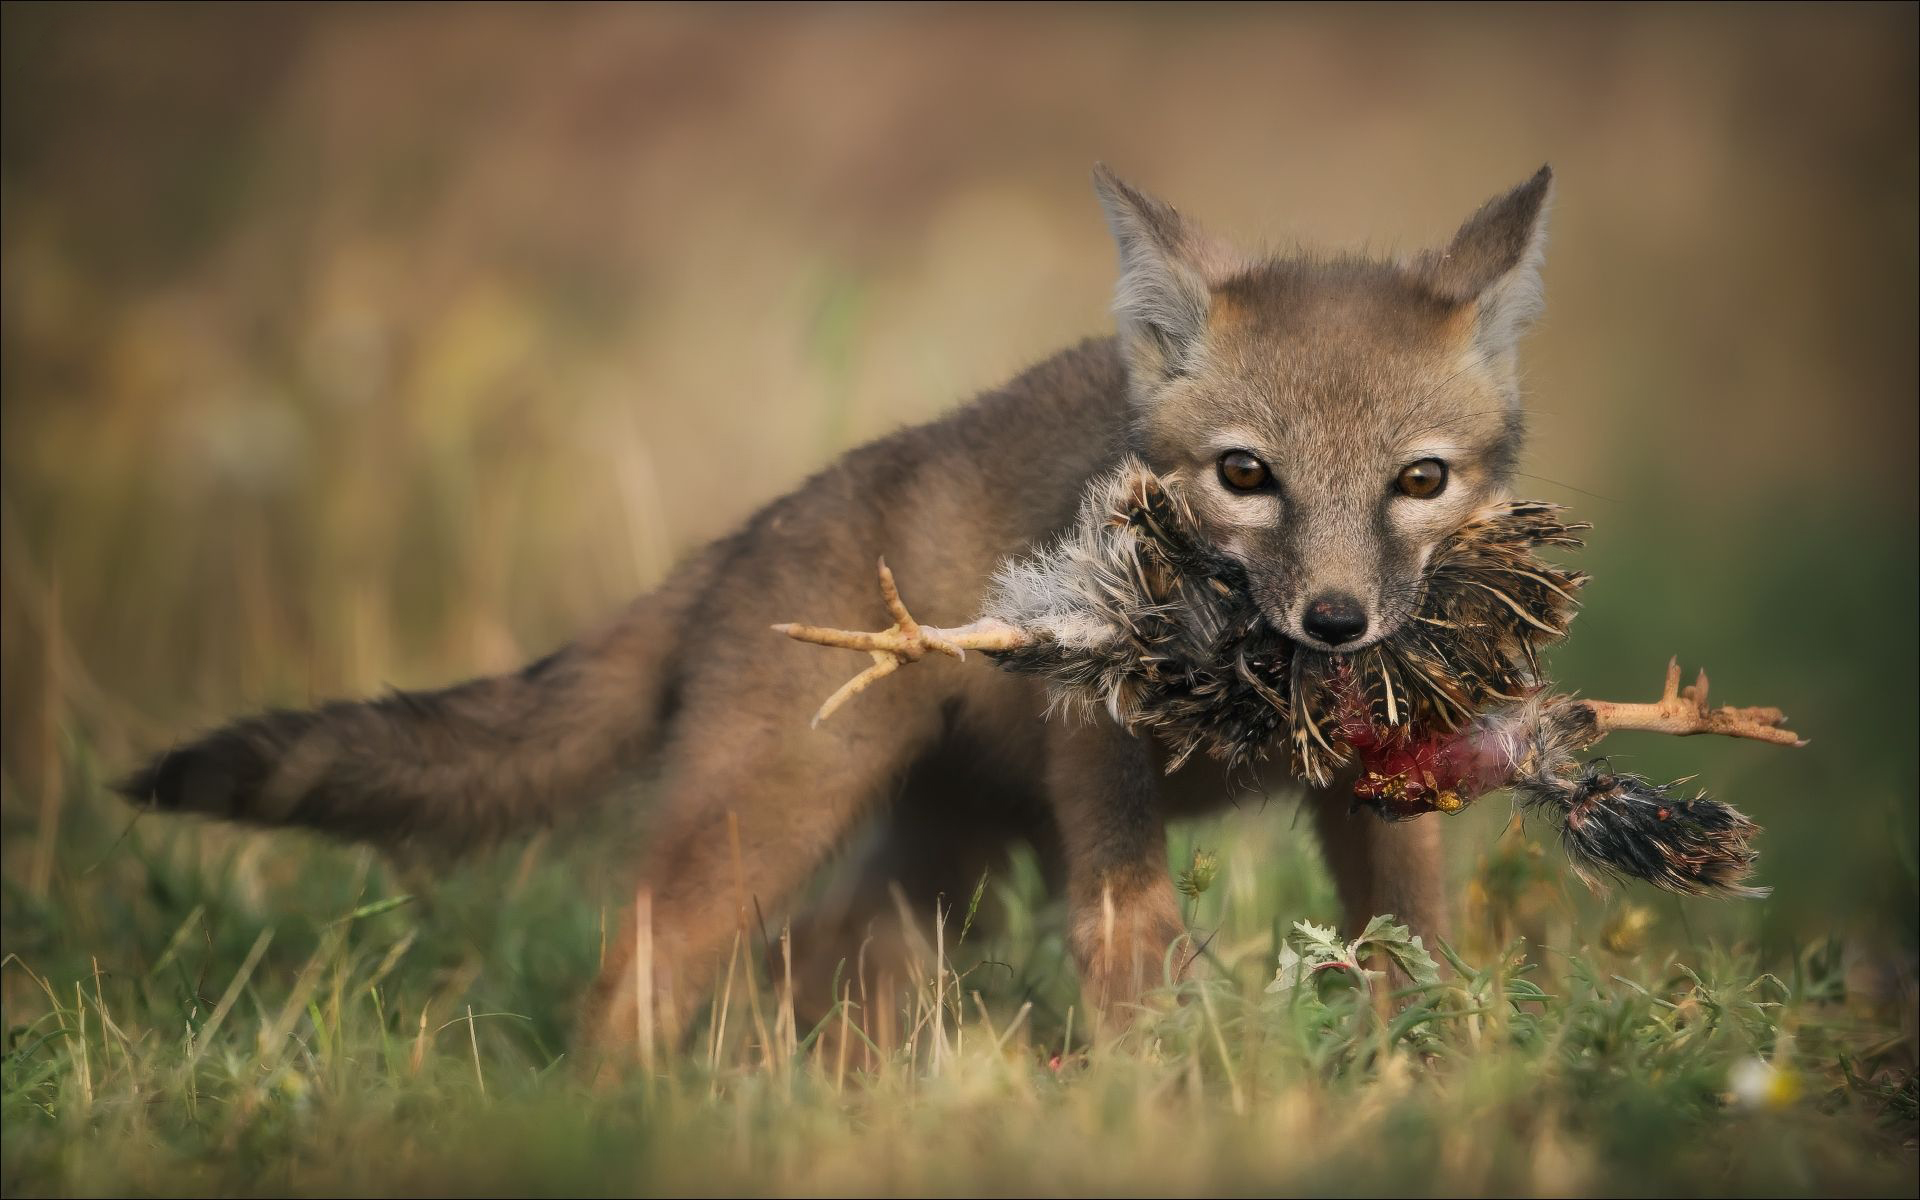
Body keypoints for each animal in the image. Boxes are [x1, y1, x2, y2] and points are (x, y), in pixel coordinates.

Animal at [120, 163, 1555, 1057]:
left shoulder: (1378, 800)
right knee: (635, 980)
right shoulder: (1099, 771)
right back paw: (615, 1123)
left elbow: (1412, 959)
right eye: (1245, 475)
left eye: (1419, 481)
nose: (1335, 625)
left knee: (816, 968)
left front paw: (1420, 1083)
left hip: (934, 864)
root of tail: (744, 538)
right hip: (773, 821)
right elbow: (1130, 942)